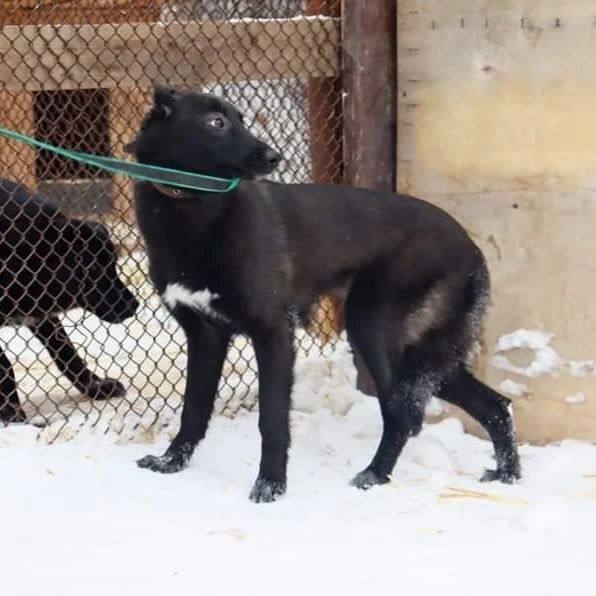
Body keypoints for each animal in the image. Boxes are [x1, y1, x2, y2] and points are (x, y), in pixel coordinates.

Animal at [0, 178, 139, 423]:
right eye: (93, 268)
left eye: (113, 264)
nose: (134, 305)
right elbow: (5, 366)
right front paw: (12, 413)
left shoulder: (42, 315)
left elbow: (68, 354)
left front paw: (97, 388)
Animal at [130, 86, 521, 502]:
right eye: (215, 122)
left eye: (239, 119)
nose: (273, 156)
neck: (193, 209)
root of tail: (471, 248)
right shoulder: (204, 337)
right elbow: (193, 408)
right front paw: (171, 462)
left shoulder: (273, 332)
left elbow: (271, 418)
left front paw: (270, 485)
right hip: (423, 353)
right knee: (496, 405)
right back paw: (508, 476)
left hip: (371, 326)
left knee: (400, 416)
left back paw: (374, 474)